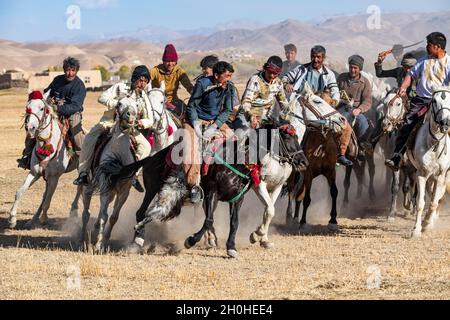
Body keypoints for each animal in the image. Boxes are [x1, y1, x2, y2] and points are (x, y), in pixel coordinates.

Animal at [8, 91, 82, 229]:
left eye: (42, 108)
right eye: (27, 107)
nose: (30, 127)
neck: (46, 145)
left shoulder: (54, 177)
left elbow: (48, 200)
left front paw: (43, 219)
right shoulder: (35, 173)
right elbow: (20, 192)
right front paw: (12, 219)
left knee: (81, 188)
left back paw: (73, 212)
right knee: (45, 195)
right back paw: (32, 220)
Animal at [408, 87, 450, 238]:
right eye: (434, 101)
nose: (445, 122)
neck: (434, 144)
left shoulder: (440, 176)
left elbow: (434, 202)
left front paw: (426, 223)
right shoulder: (421, 174)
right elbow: (421, 202)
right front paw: (416, 230)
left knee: (437, 197)